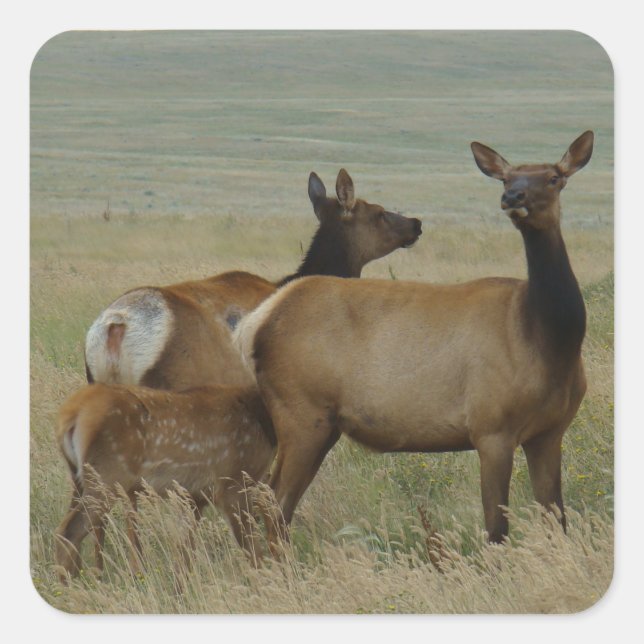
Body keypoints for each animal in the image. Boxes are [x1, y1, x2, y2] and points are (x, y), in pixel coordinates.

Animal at [54, 382, 277, 580]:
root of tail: (72, 412)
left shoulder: (195, 496)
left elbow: (185, 553)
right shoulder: (234, 482)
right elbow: (253, 554)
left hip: (79, 478)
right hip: (108, 475)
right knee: (69, 530)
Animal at [235, 132, 593, 546]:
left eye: (554, 177)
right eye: (506, 178)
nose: (513, 196)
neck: (548, 340)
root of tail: (255, 323)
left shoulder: (550, 433)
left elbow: (557, 520)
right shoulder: (491, 427)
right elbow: (496, 529)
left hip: (321, 423)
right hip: (301, 410)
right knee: (271, 500)